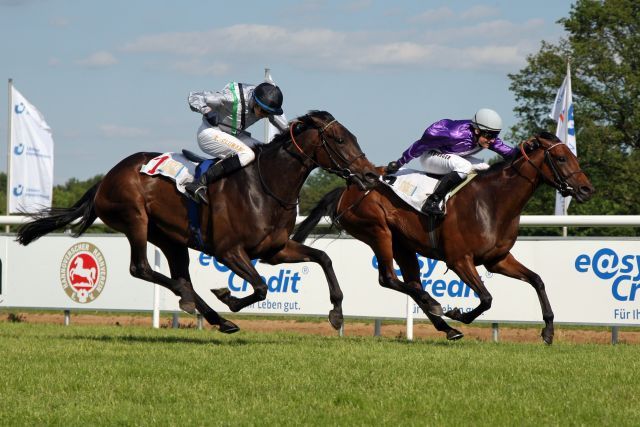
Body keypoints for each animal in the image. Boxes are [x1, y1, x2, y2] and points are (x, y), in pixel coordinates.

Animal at [17, 110, 380, 334]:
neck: (267, 186)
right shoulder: (228, 251)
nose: (369, 175)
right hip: (135, 219)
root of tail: (106, 178)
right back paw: (199, 304)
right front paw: (228, 297)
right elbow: (261, 286)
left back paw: (208, 312)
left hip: (171, 239)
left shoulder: (274, 249)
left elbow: (324, 258)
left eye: (353, 137)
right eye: (340, 140)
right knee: (143, 269)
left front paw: (336, 313)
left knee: (178, 275)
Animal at [296, 132, 596, 346]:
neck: (492, 201)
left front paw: (548, 331)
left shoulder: (497, 259)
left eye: (572, 155)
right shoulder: (460, 259)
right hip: (378, 232)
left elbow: (537, 280)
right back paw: (437, 307)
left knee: (411, 283)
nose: (586, 189)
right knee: (389, 278)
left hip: (403, 245)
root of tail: (348, 188)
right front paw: (459, 313)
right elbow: (487, 298)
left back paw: (446, 326)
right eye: (561, 159)